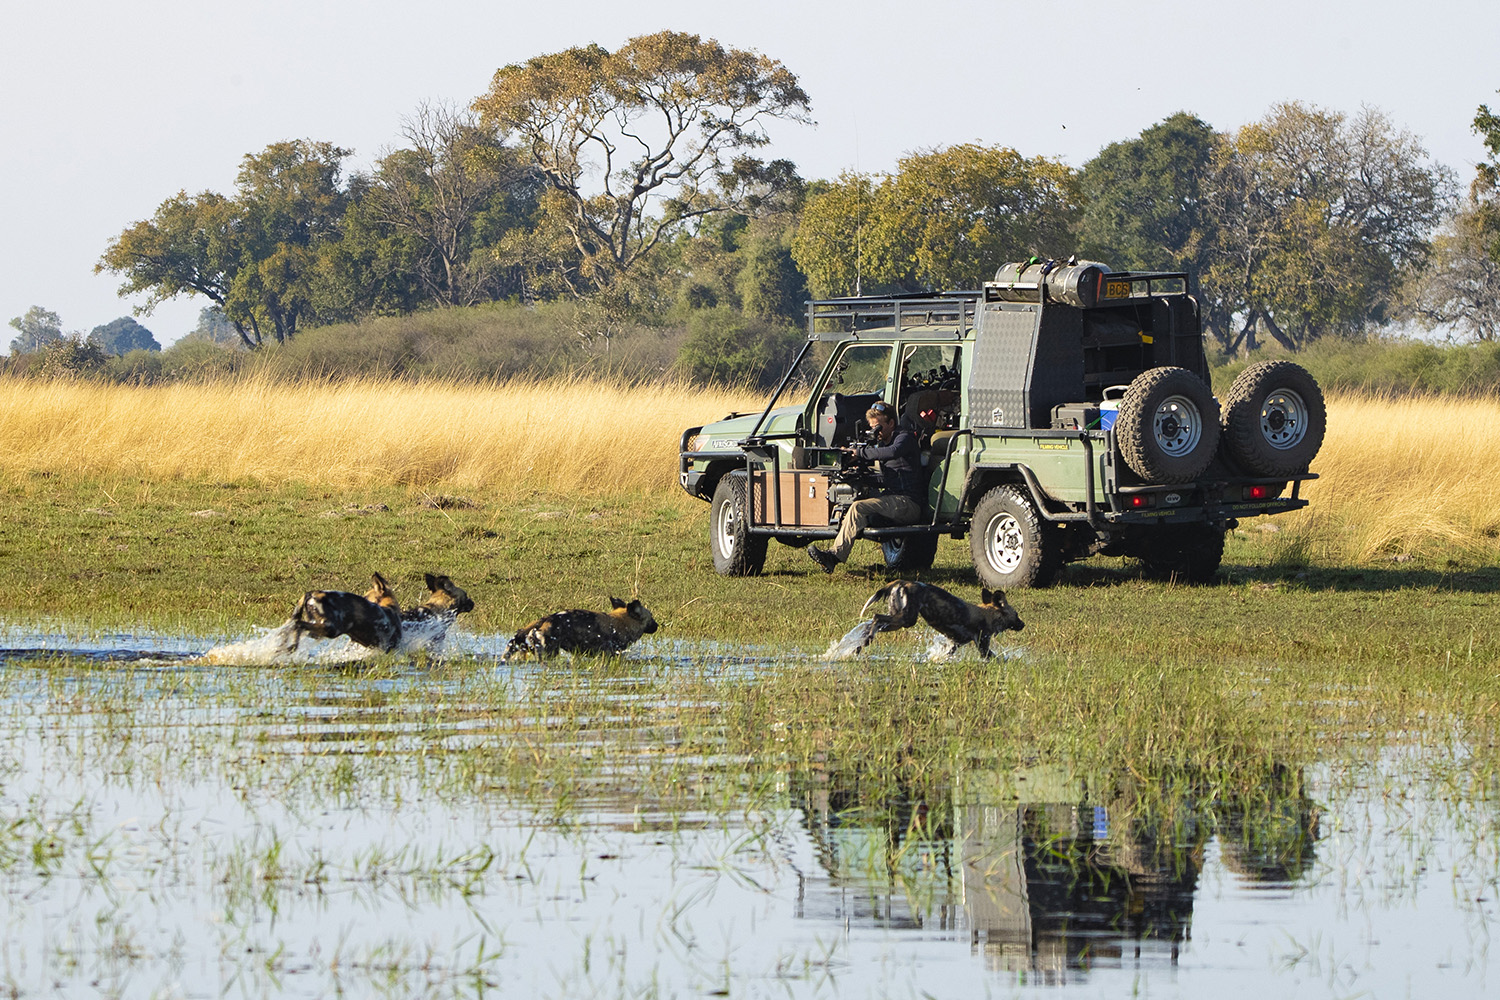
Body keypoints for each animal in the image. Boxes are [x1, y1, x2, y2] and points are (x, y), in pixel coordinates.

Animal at [504, 593, 657, 665]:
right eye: (651, 617)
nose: (657, 625)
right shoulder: (609, 653)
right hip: (549, 652)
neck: (621, 623)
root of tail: (546, 618)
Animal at [852, 581, 1026, 659]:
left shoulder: (953, 645)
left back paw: (861, 644)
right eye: (1017, 615)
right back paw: (865, 641)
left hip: (898, 620)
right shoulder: (983, 646)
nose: (1023, 624)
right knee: (876, 617)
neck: (987, 614)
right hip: (906, 619)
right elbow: (998, 658)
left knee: (874, 623)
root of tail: (903, 581)